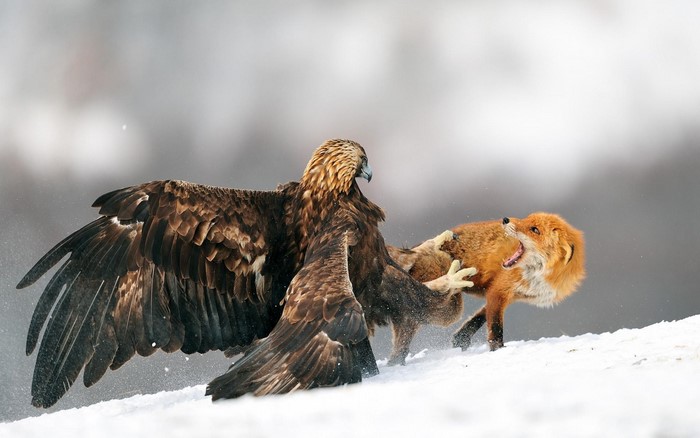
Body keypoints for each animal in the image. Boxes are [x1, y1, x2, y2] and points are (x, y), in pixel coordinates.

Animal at [387, 212, 585, 357]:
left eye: (535, 229)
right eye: (526, 219)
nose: (505, 219)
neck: (539, 276)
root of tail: (412, 251)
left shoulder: (506, 293)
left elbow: (479, 318)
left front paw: (461, 338)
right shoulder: (499, 290)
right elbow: (495, 327)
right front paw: (497, 351)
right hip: (449, 308)